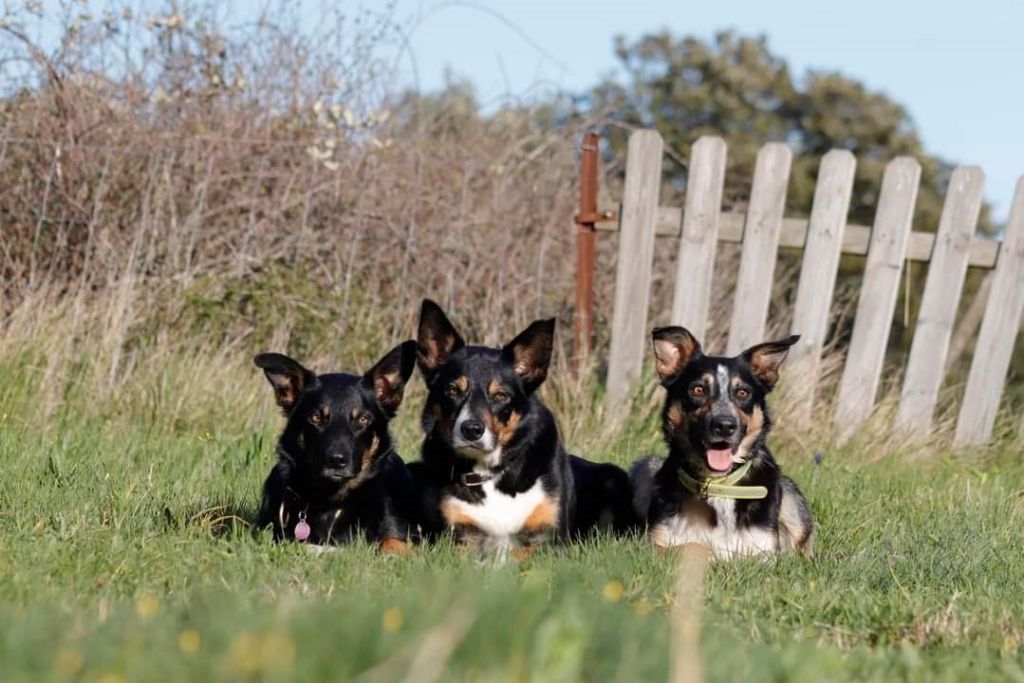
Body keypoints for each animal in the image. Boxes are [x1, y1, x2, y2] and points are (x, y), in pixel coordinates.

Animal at [405, 301, 630, 561]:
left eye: (501, 395)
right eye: (452, 390)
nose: (471, 429)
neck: (491, 472)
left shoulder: (552, 539)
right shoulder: (458, 538)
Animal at [626, 327, 811, 561]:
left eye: (743, 392)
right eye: (697, 390)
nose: (724, 425)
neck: (718, 483)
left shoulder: (765, 552)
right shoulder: (655, 543)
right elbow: (696, 547)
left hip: (790, 494)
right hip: (644, 467)